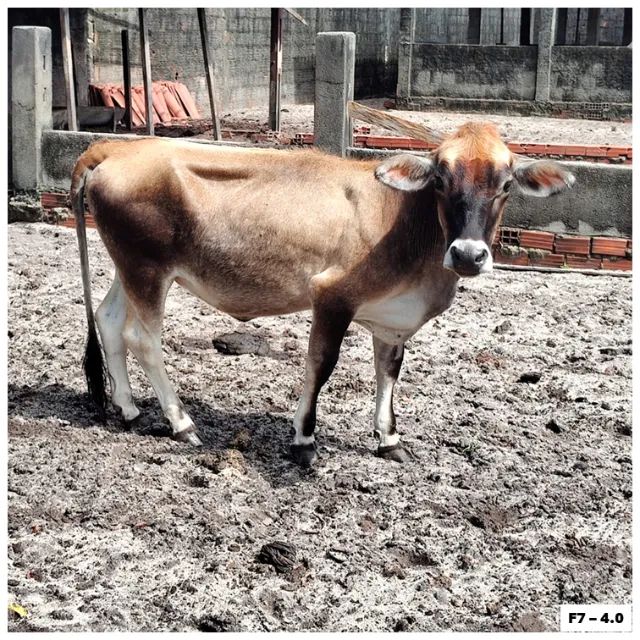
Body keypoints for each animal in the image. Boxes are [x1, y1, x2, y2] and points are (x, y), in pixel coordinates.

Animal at [70, 104, 575, 467]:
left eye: (506, 184)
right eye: (439, 179)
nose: (468, 254)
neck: (403, 221)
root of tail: (113, 150)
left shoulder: (392, 317)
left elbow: (389, 370)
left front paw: (389, 438)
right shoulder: (332, 296)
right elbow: (321, 365)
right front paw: (304, 439)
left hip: (130, 266)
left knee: (109, 320)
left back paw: (128, 408)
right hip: (148, 268)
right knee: (142, 338)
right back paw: (181, 423)